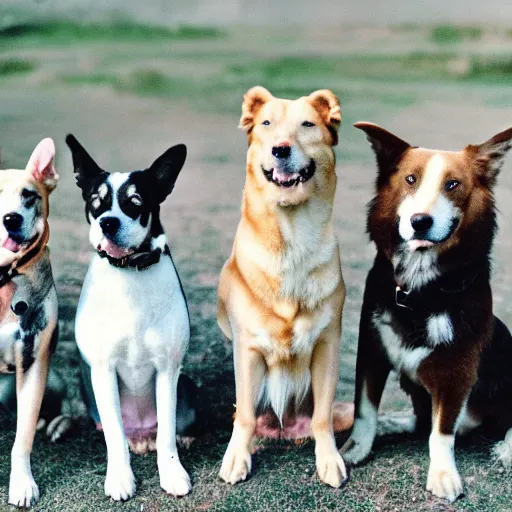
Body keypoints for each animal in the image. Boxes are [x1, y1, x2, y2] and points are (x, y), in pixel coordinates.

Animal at [67, 135, 195, 500]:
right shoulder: (102, 370)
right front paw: (120, 478)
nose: (108, 222)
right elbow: (114, 435)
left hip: (187, 385)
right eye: (96, 203)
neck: (129, 270)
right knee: (120, 433)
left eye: (135, 202)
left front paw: (172, 473)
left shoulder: (168, 370)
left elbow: (166, 433)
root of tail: (141, 433)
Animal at [216, 86, 352, 486]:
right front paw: (237, 458)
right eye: (266, 124)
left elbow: (322, 418)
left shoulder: (327, 345)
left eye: (307, 124)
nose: (281, 149)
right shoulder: (247, 350)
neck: (291, 238)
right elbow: (245, 416)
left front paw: (328, 459)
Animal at [342, 123, 512, 500]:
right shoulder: (371, 350)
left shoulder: (457, 372)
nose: (420, 221)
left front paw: (443, 475)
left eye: (453, 184)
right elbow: (364, 410)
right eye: (410, 179)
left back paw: (508, 447)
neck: (421, 291)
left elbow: (441, 433)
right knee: (419, 420)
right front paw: (355, 449)